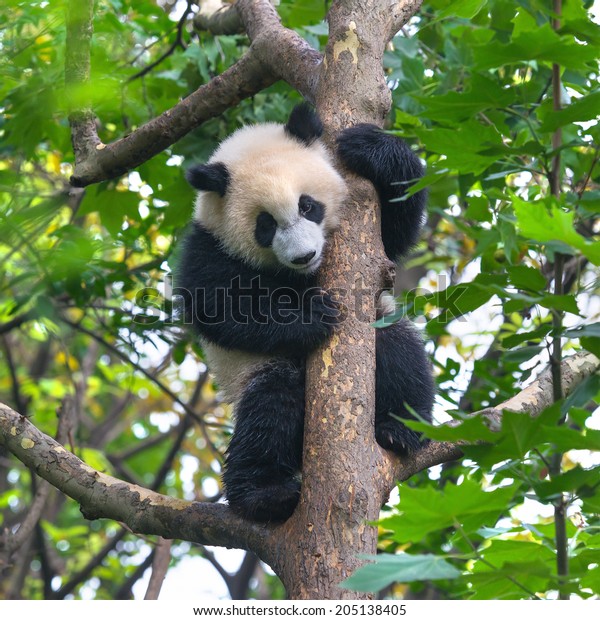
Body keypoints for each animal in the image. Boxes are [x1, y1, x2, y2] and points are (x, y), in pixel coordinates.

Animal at [176, 104, 434, 520]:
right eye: (265, 225)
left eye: (308, 206)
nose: (304, 256)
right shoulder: (209, 246)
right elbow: (218, 305)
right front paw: (313, 316)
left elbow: (397, 230)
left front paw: (370, 148)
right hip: (254, 370)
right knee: (271, 406)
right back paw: (264, 494)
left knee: (399, 355)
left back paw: (400, 430)